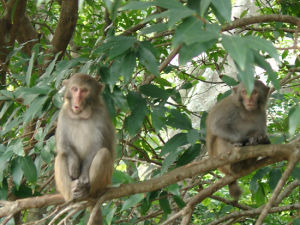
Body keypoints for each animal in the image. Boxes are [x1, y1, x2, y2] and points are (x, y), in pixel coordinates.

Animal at [54, 73, 115, 204]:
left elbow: (98, 145)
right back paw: (71, 193)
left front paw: (83, 175)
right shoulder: (63, 113)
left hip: (106, 180)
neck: (80, 116)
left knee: (104, 153)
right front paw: (74, 165)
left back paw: (87, 192)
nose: (77, 99)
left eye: (84, 91)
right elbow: (63, 144)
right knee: (61, 156)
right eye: (75, 89)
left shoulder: (101, 115)